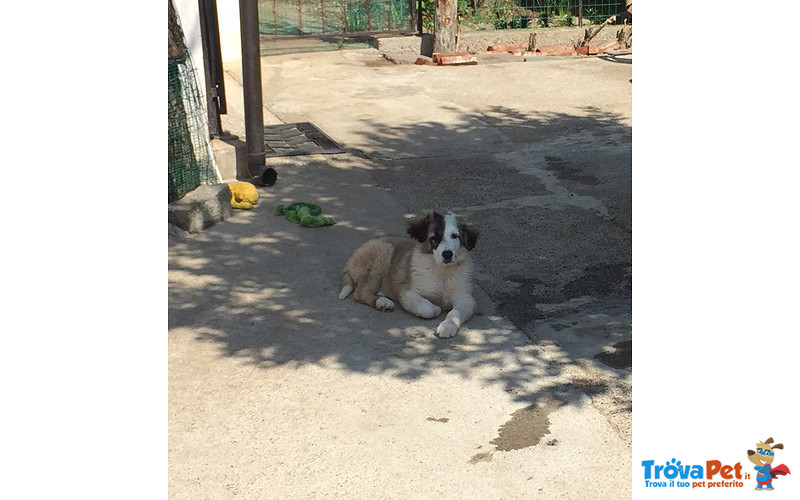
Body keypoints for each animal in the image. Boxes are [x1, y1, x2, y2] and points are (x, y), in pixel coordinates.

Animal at [340, 209, 478, 338]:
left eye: (455, 236)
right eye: (434, 238)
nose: (447, 254)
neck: (442, 271)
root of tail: (351, 259)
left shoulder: (466, 298)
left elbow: (455, 313)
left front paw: (447, 327)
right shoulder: (407, 292)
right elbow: (426, 308)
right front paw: (435, 308)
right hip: (383, 252)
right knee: (360, 292)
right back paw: (382, 302)